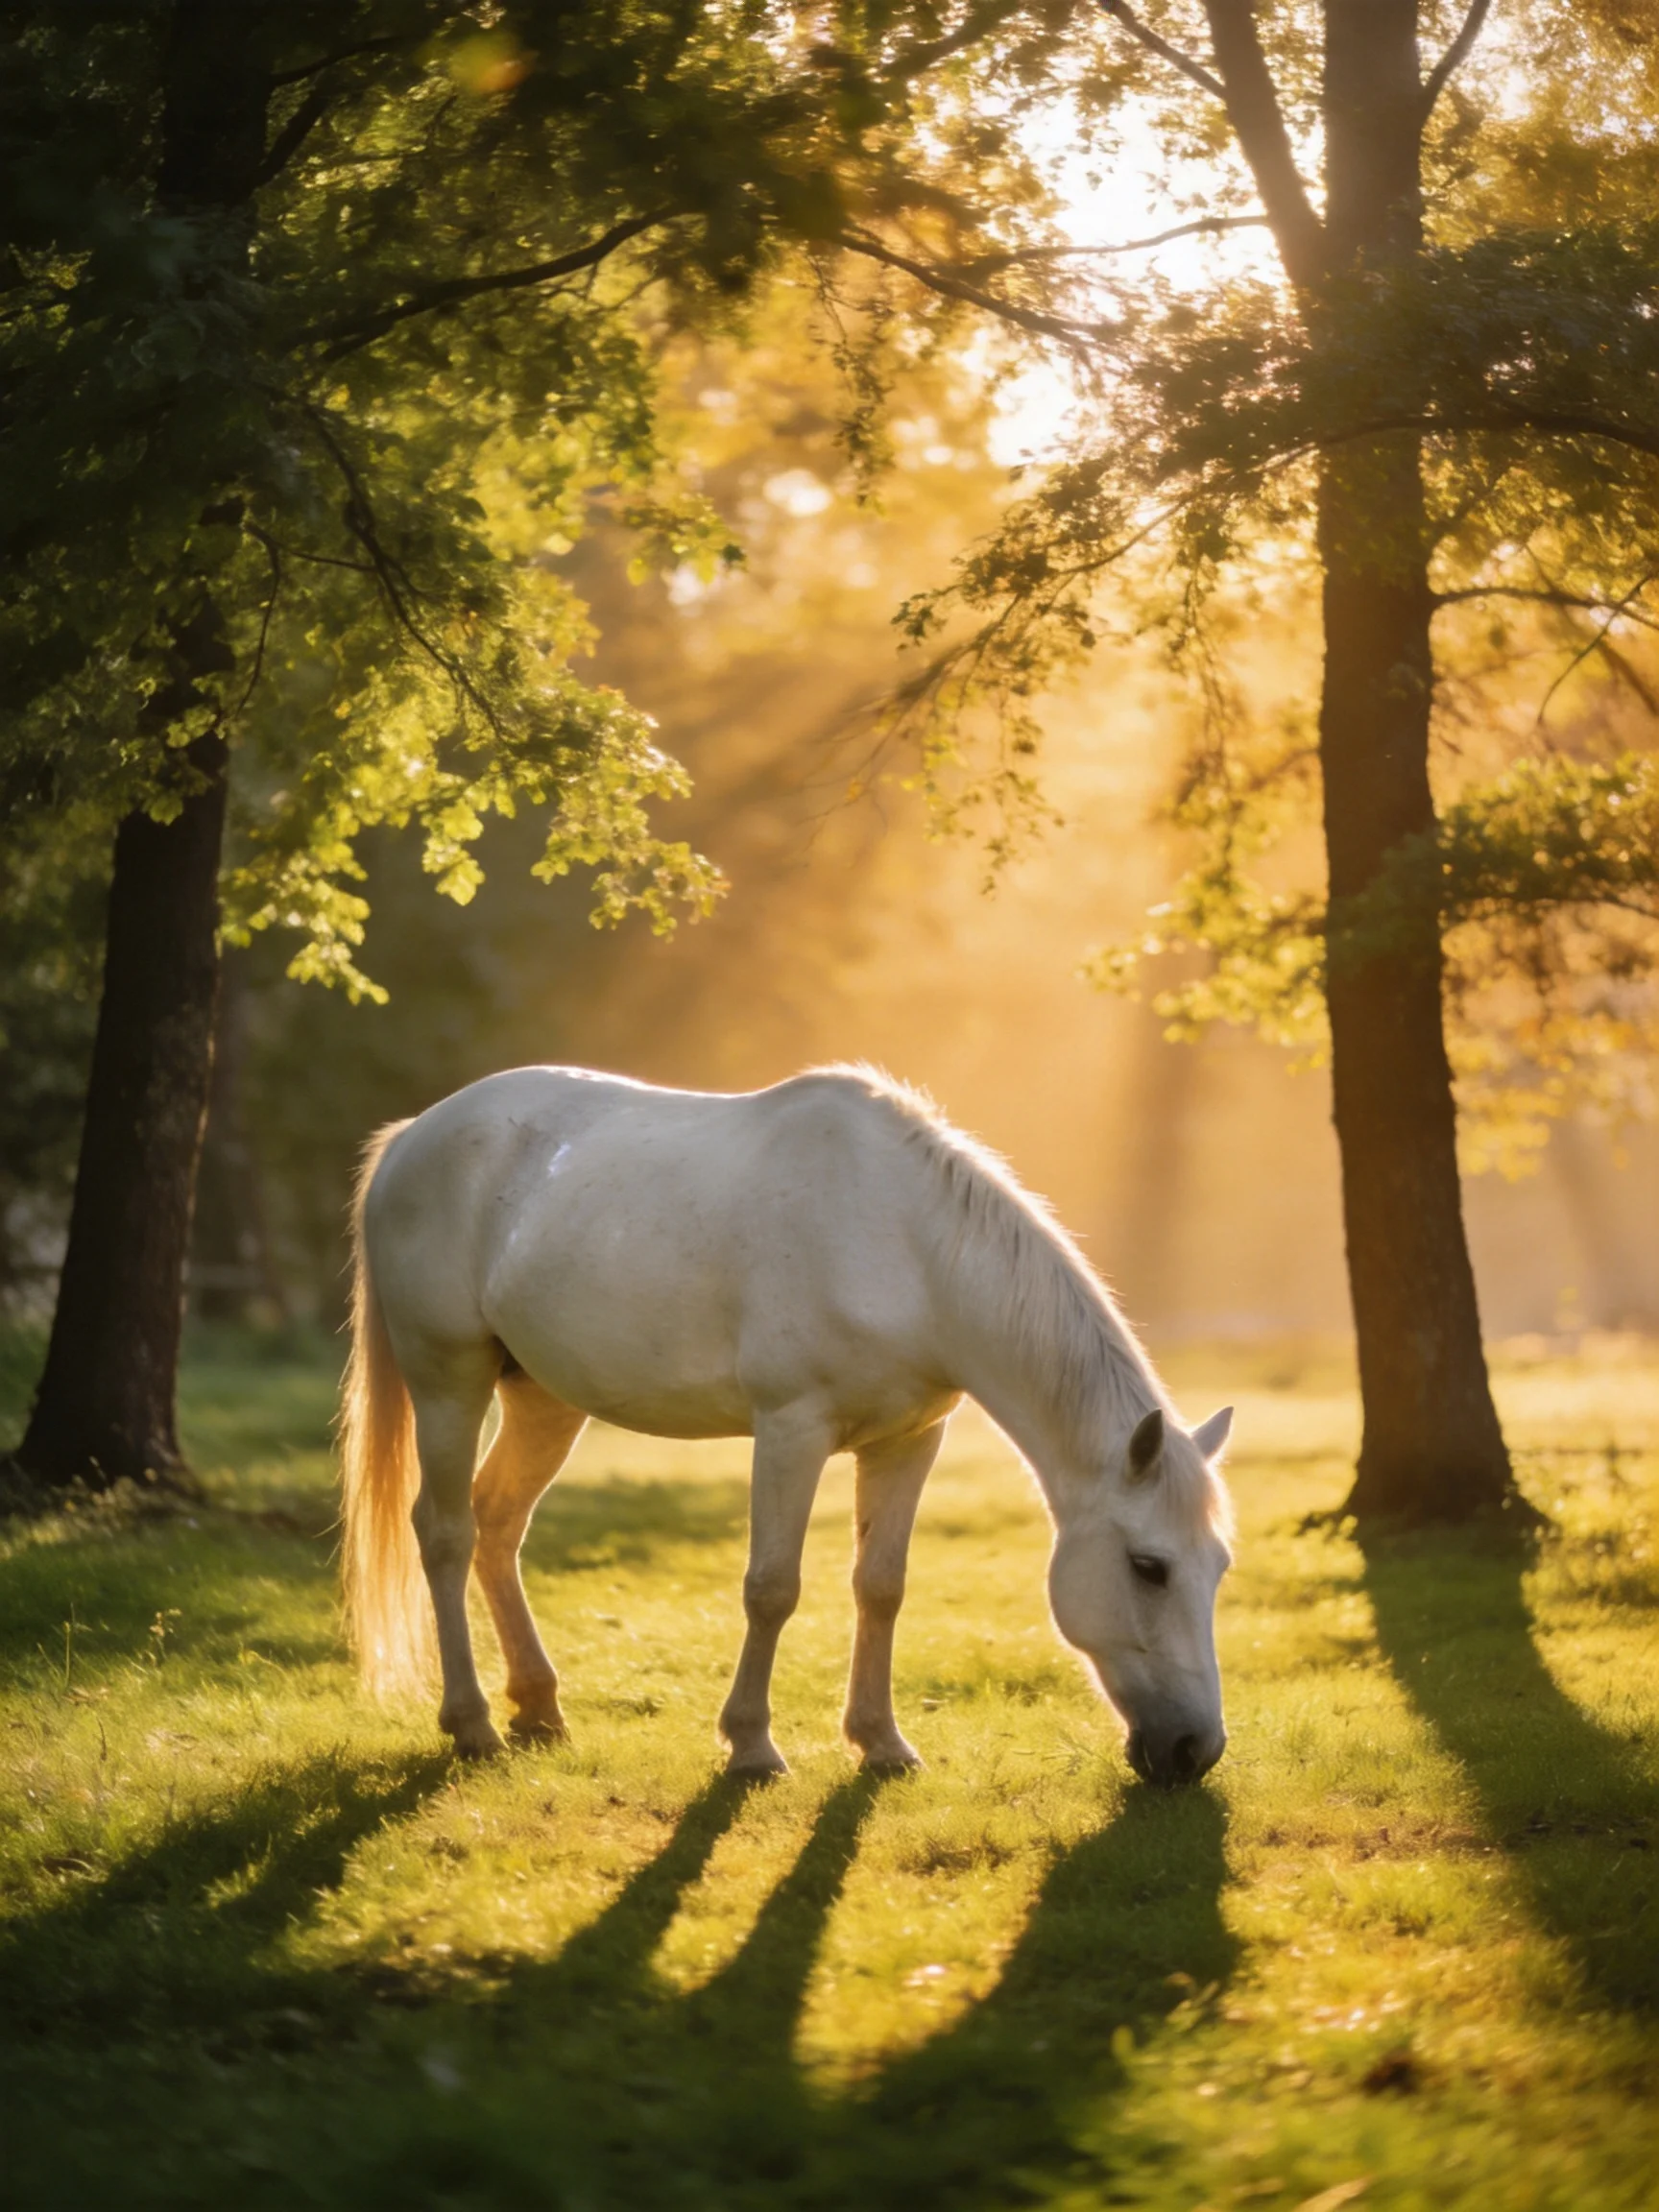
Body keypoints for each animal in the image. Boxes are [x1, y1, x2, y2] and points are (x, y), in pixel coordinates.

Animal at [340, 1064, 1234, 1783]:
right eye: (1149, 1567)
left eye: (1218, 1566)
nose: (1196, 1750)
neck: (907, 1249)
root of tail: (414, 1135)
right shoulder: (790, 1432)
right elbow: (772, 1588)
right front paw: (752, 1746)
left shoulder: (910, 1442)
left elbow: (881, 1586)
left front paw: (882, 1744)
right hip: (449, 1383)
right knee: (446, 1533)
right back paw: (473, 1725)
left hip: (544, 1401)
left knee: (498, 1524)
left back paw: (539, 1710)